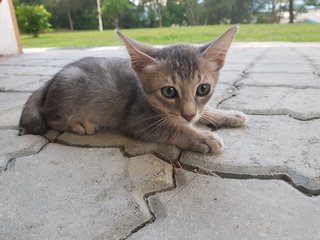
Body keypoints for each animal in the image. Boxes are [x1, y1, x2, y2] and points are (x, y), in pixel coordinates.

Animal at [20, 26, 246, 154]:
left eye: (203, 89)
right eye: (169, 92)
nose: (188, 115)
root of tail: (51, 79)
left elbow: (203, 111)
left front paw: (227, 114)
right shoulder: (137, 121)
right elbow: (174, 128)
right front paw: (202, 137)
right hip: (69, 91)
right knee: (49, 117)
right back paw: (79, 124)